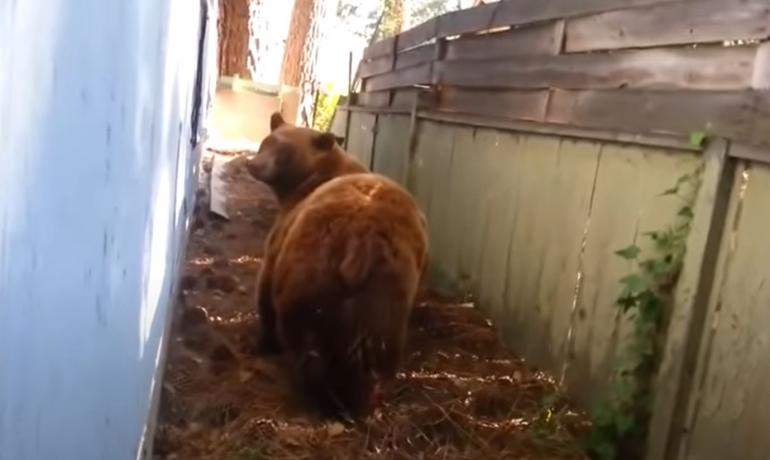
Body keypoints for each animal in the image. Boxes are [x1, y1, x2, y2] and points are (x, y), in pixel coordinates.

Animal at [244, 112, 426, 416]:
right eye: (266, 142)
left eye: (284, 152)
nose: (253, 164)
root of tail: (366, 239)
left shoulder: (282, 235)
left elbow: (264, 283)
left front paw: (262, 342)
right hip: (388, 291)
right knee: (380, 347)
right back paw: (366, 397)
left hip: (312, 272)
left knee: (306, 336)